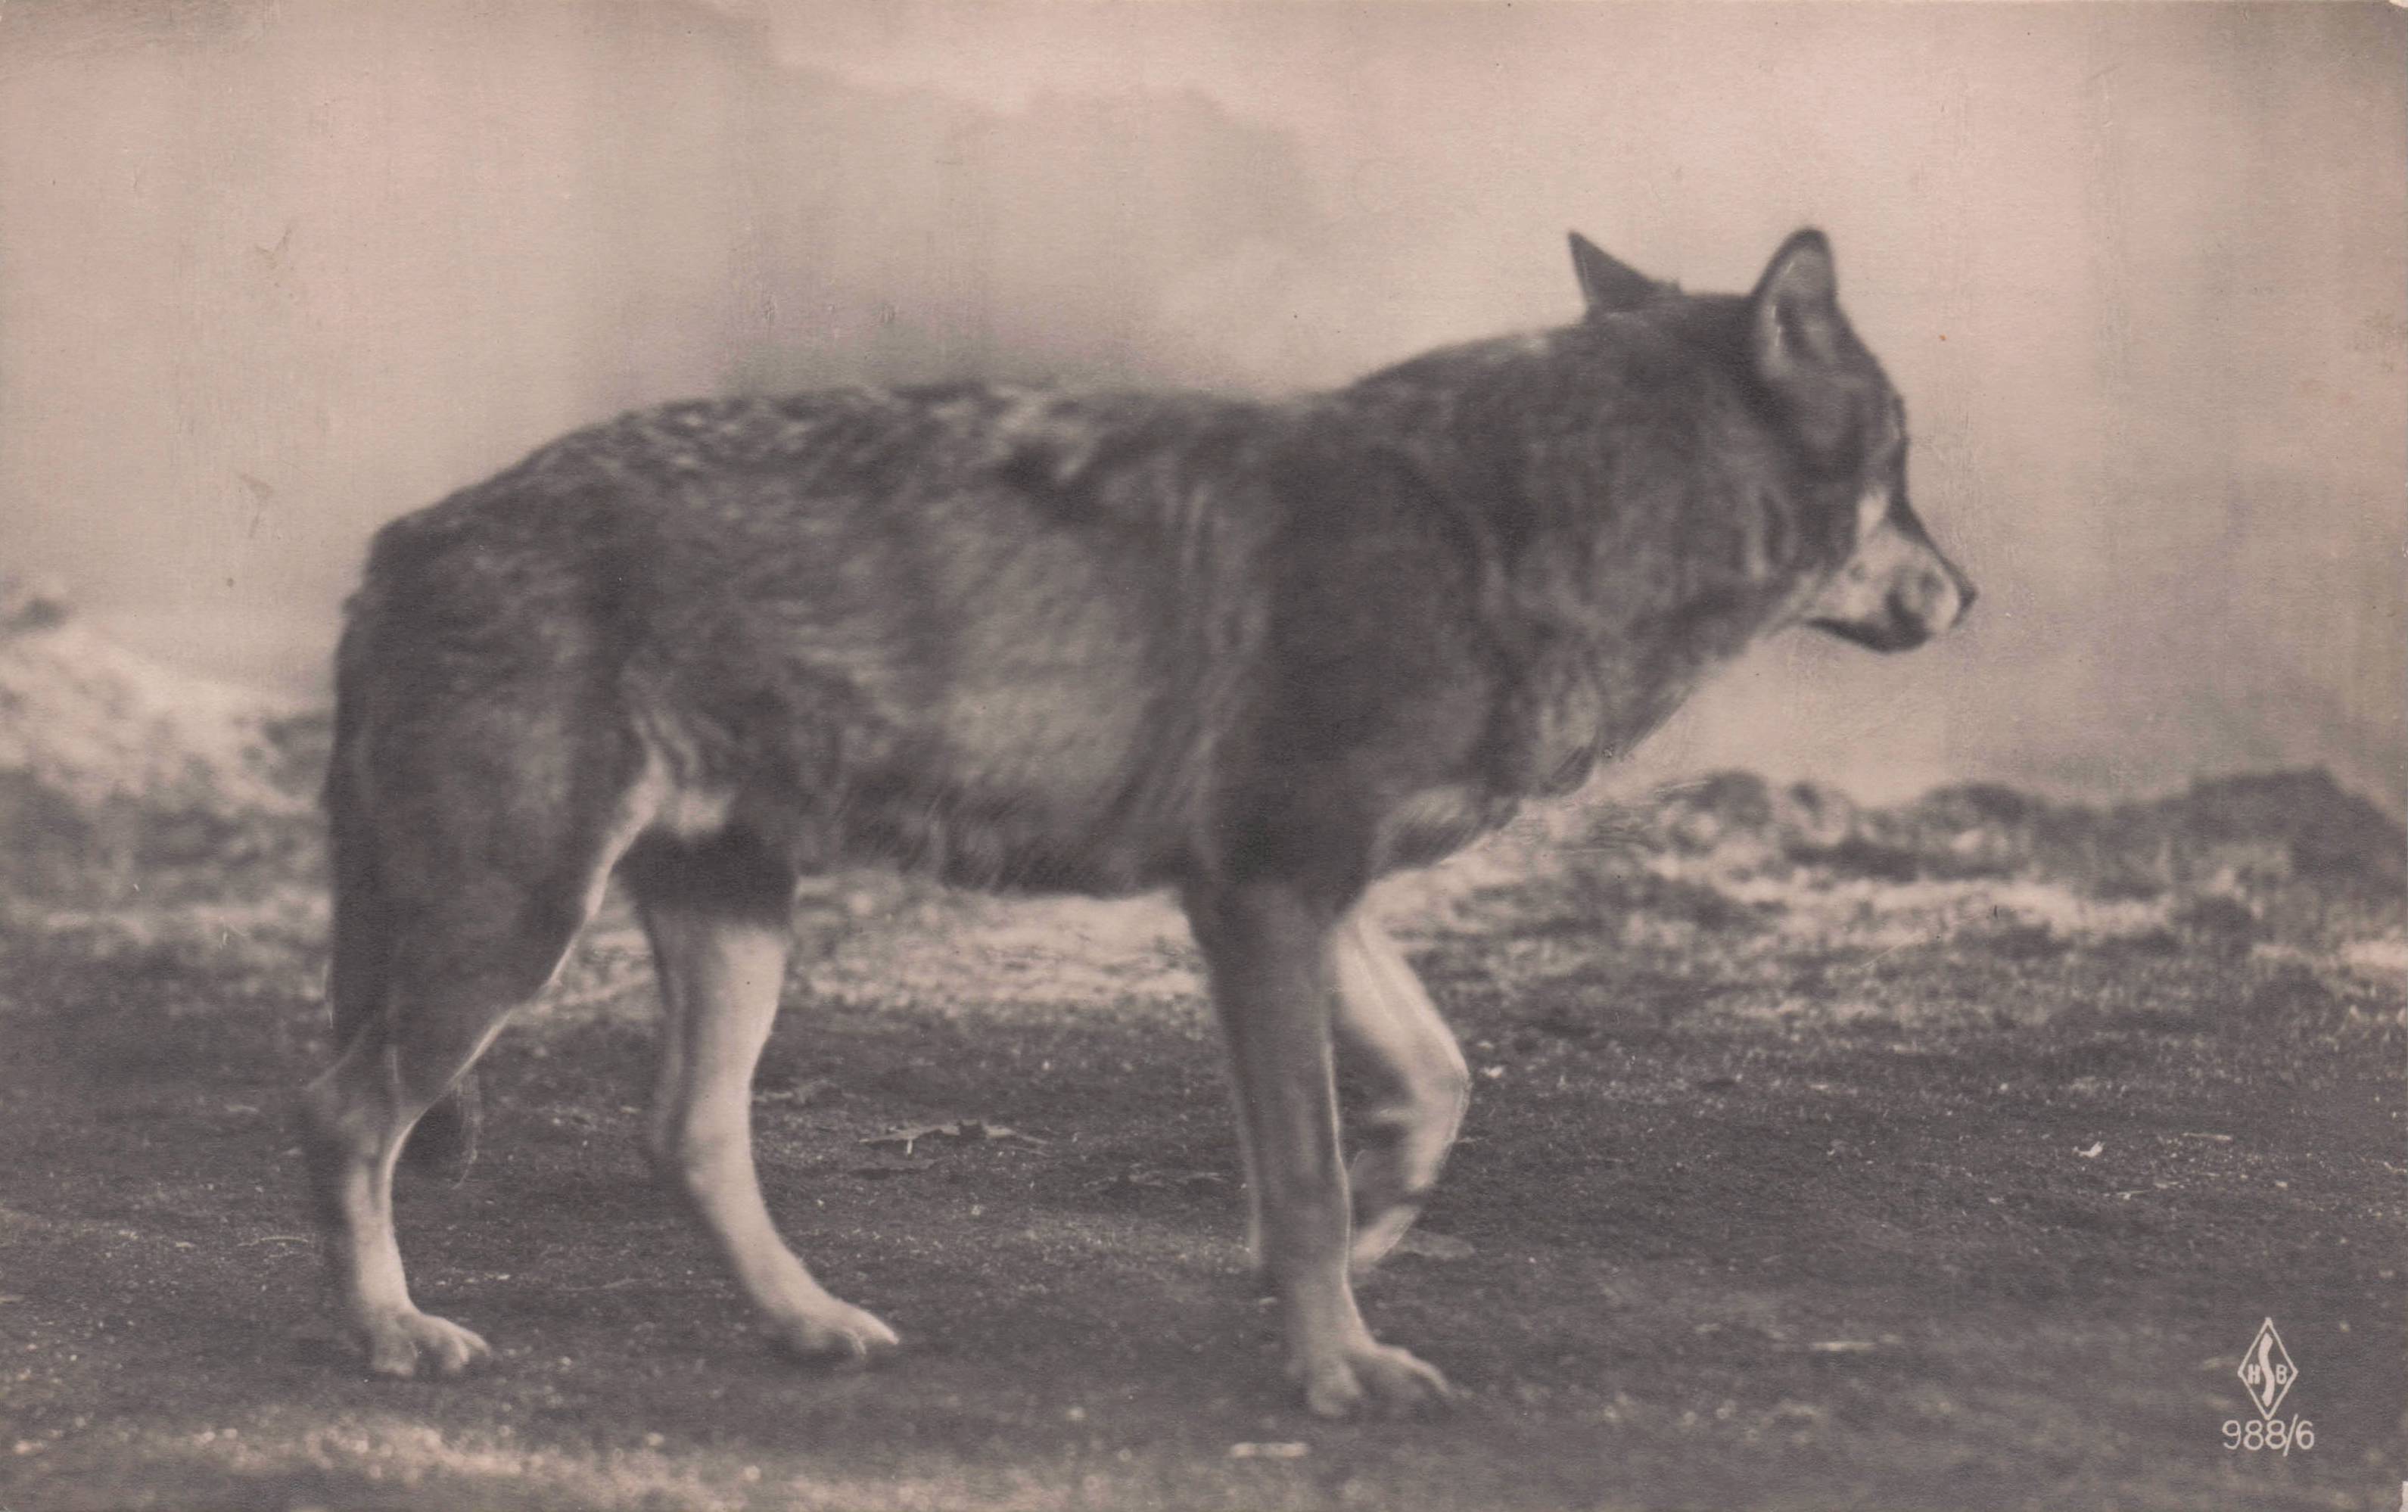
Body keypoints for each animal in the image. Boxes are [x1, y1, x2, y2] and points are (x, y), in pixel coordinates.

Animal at [299, 228, 1973, 1418]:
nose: (1967, 594)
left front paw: (1371, 1237)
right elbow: (1300, 1167)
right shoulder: (1264, 902)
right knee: (346, 1115)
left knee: (683, 1136)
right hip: (512, 934)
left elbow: (1437, 1081)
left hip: (732, 927)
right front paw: (1335, 1367)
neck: (1509, 517)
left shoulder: (1305, 900)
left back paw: (808, 1324)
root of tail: (397, 536)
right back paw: (388, 1332)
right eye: (1901, 469)